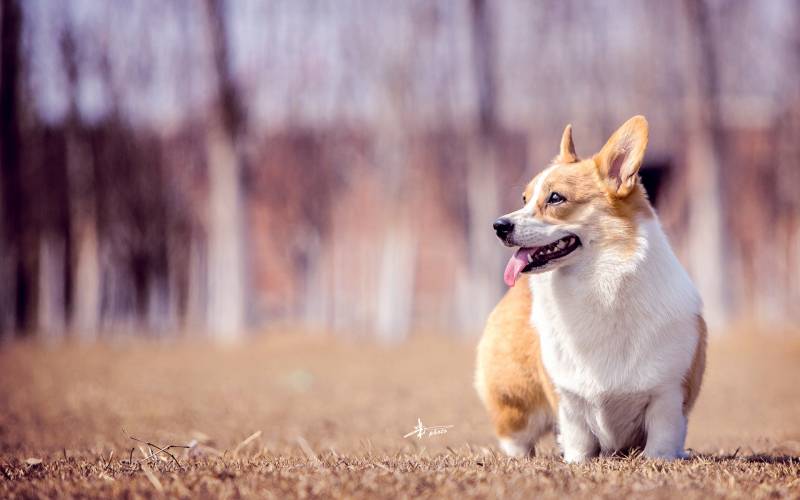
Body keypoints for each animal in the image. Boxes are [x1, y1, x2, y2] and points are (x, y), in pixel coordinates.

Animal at [476, 116, 708, 460]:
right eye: (524, 199)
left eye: (555, 198)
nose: (498, 226)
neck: (598, 284)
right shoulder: (568, 399)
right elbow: (578, 439)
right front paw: (576, 463)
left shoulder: (666, 395)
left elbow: (661, 440)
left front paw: (661, 459)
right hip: (517, 406)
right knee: (516, 439)